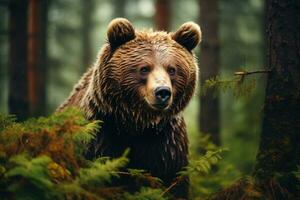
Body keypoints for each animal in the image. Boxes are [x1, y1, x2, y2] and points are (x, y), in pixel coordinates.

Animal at [57, 18, 200, 198]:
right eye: (144, 68)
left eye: (172, 69)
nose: (162, 92)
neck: (135, 123)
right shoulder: (98, 137)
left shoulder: (167, 144)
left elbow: (172, 182)